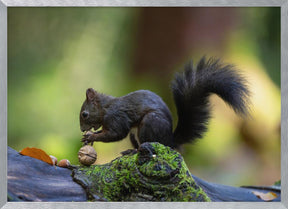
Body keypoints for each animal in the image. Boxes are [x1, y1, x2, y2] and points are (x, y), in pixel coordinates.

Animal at [80, 56, 251, 149]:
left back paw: (133, 151)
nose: (82, 130)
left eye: (85, 114)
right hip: (135, 135)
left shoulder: (116, 117)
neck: (105, 108)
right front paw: (90, 136)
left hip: (150, 124)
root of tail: (170, 141)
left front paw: (92, 137)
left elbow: (116, 134)